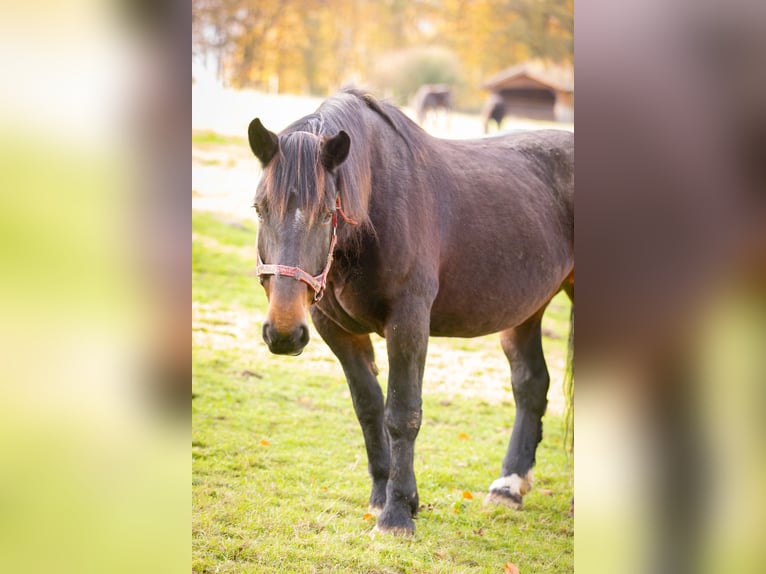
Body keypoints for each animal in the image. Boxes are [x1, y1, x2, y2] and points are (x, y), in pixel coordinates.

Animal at [247, 88, 573, 535]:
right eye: (260, 208)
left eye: (328, 212)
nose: (283, 332)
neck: (377, 208)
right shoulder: (336, 329)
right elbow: (369, 409)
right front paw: (383, 496)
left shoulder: (409, 322)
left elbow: (402, 413)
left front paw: (397, 513)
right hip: (527, 311)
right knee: (531, 384)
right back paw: (508, 487)